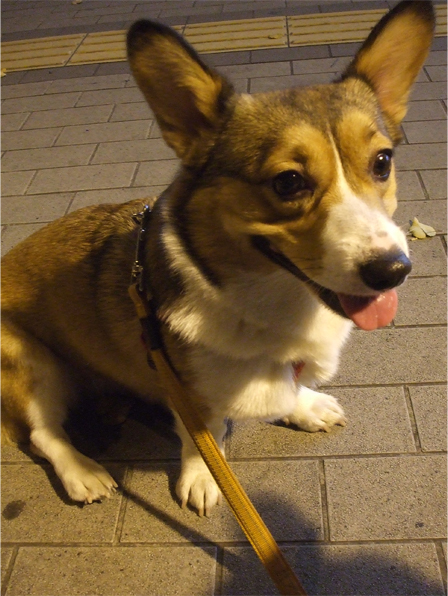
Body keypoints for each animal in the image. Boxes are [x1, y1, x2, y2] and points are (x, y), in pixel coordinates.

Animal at [1, 1, 434, 516]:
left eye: (382, 162)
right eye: (289, 182)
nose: (394, 271)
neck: (277, 304)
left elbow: (284, 389)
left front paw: (305, 406)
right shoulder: (186, 390)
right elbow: (201, 434)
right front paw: (205, 477)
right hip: (30, 363)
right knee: (43, 435)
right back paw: (83, 472)